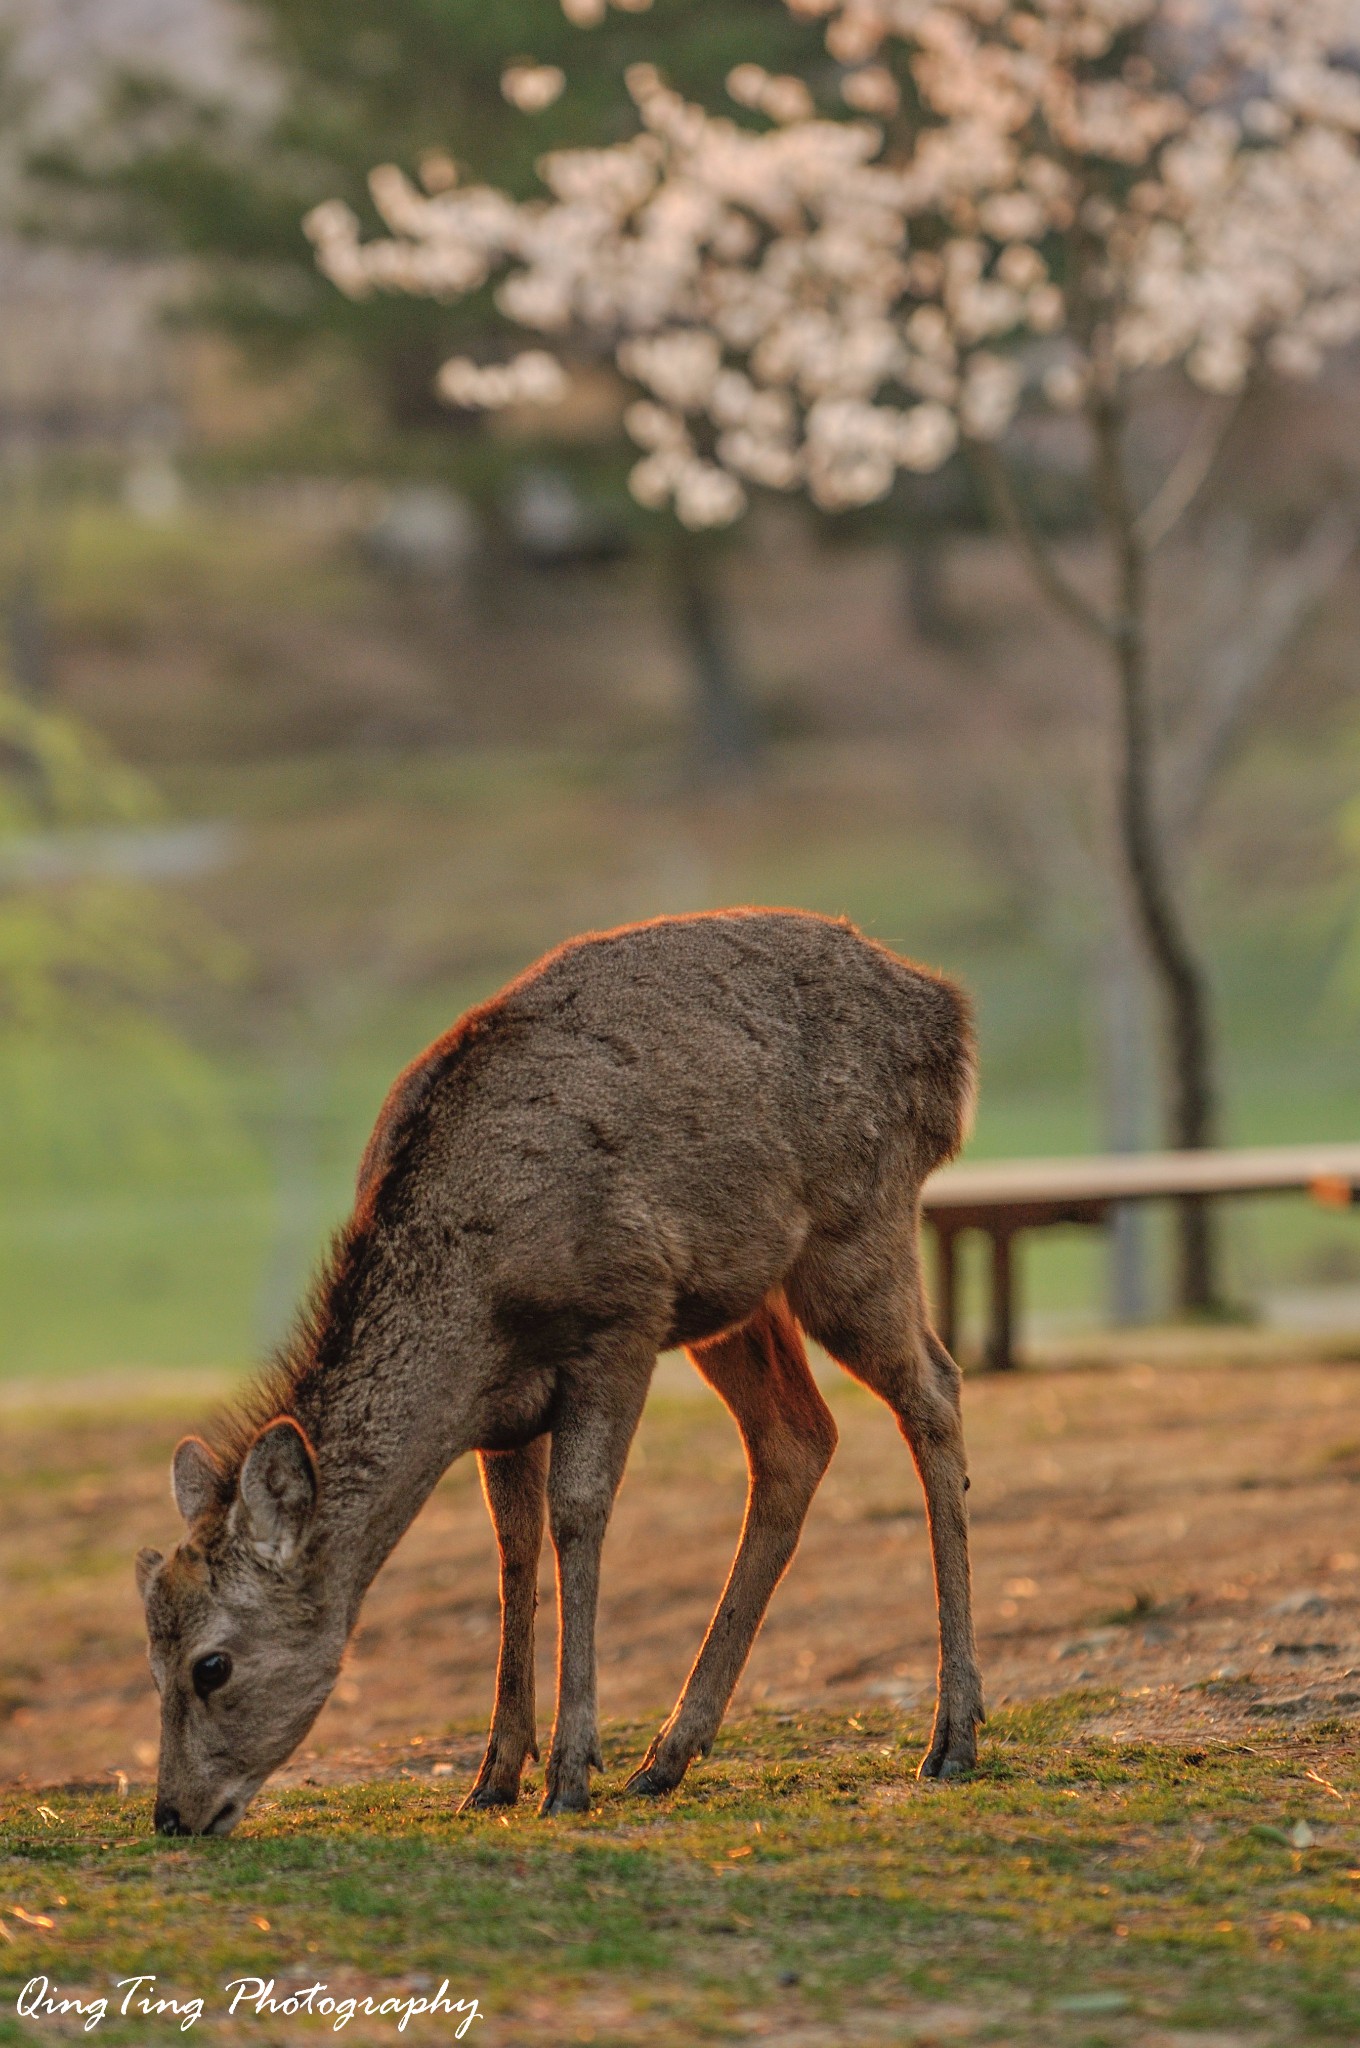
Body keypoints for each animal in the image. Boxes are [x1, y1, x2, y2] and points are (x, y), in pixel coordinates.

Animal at [138, 905, 983, 1835]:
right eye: (151, 1658)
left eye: (211, 1665)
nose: (172, 1813)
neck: (478, 1305)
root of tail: (946, 1016)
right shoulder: (502, 1411)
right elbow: (512, 1543)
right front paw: (495, 1772)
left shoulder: (622, 1318)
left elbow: (578, 1514)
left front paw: (570, 1771)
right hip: (736, 1295)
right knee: (798, 1439)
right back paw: (669, 1754)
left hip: (857, 1227)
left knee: (936, 1390)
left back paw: (953, 1735)